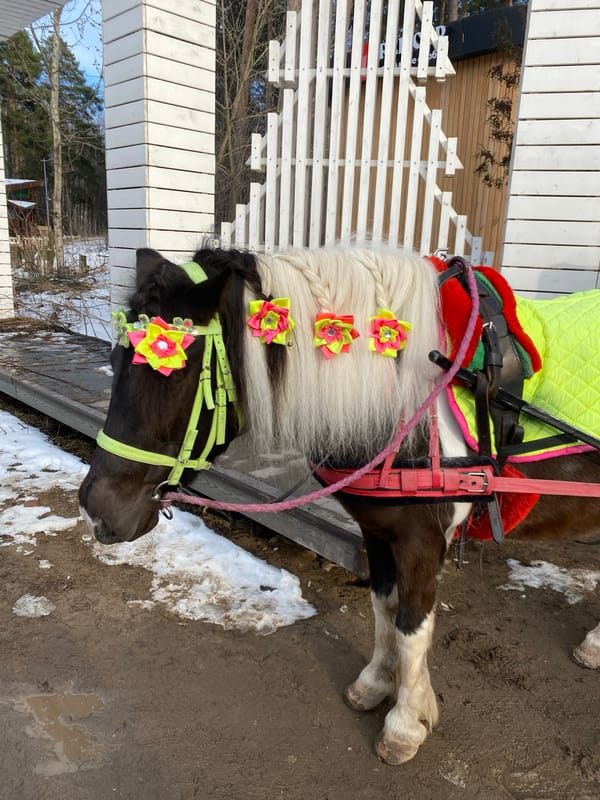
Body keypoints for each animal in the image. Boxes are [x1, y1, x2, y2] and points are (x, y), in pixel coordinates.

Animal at [79, 245, 600, 764]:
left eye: (177, 371)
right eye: (117, 358)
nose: (95, 507)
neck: (408, 403)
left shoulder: (422, 542)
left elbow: (412, 626)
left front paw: (405, 723)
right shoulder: (377, 532)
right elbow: (384, 608)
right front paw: (377, 685)